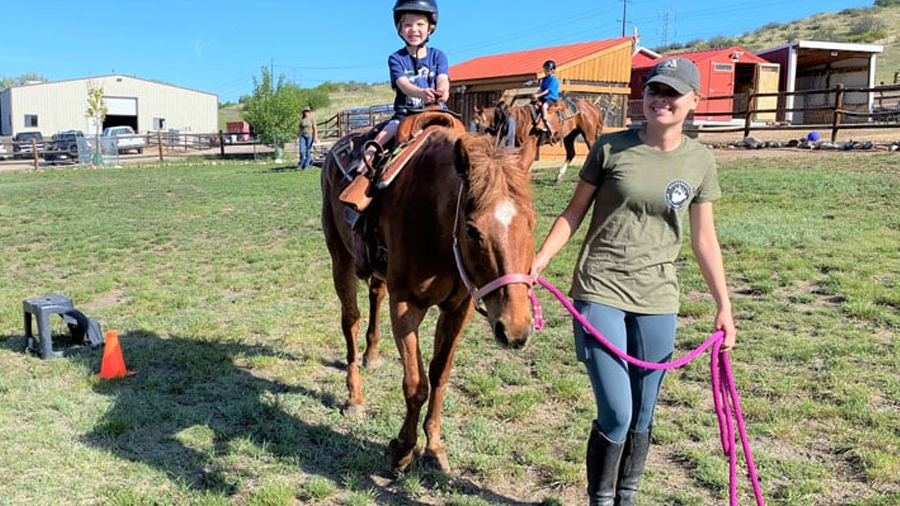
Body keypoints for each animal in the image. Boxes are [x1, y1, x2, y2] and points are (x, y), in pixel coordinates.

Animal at [322, 118, 536, 474]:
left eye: (532, 223)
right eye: (472, 230)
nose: (515, 329)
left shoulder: (458, 308)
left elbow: (439, 375)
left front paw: (434, 447)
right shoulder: (405, 305)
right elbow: (415, 384)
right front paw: (402, 449)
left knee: (375, 296)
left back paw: (372, 355)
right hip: (340, 258)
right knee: (350, 320)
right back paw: (354, 397)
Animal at [472, 98, 604, 183]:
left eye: (478, 123)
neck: (521, 120)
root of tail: (593, 107)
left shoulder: (529, 146)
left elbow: (523, 163)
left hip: (589, 135)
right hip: (569, 136)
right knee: (571, 153)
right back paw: (559, 176)